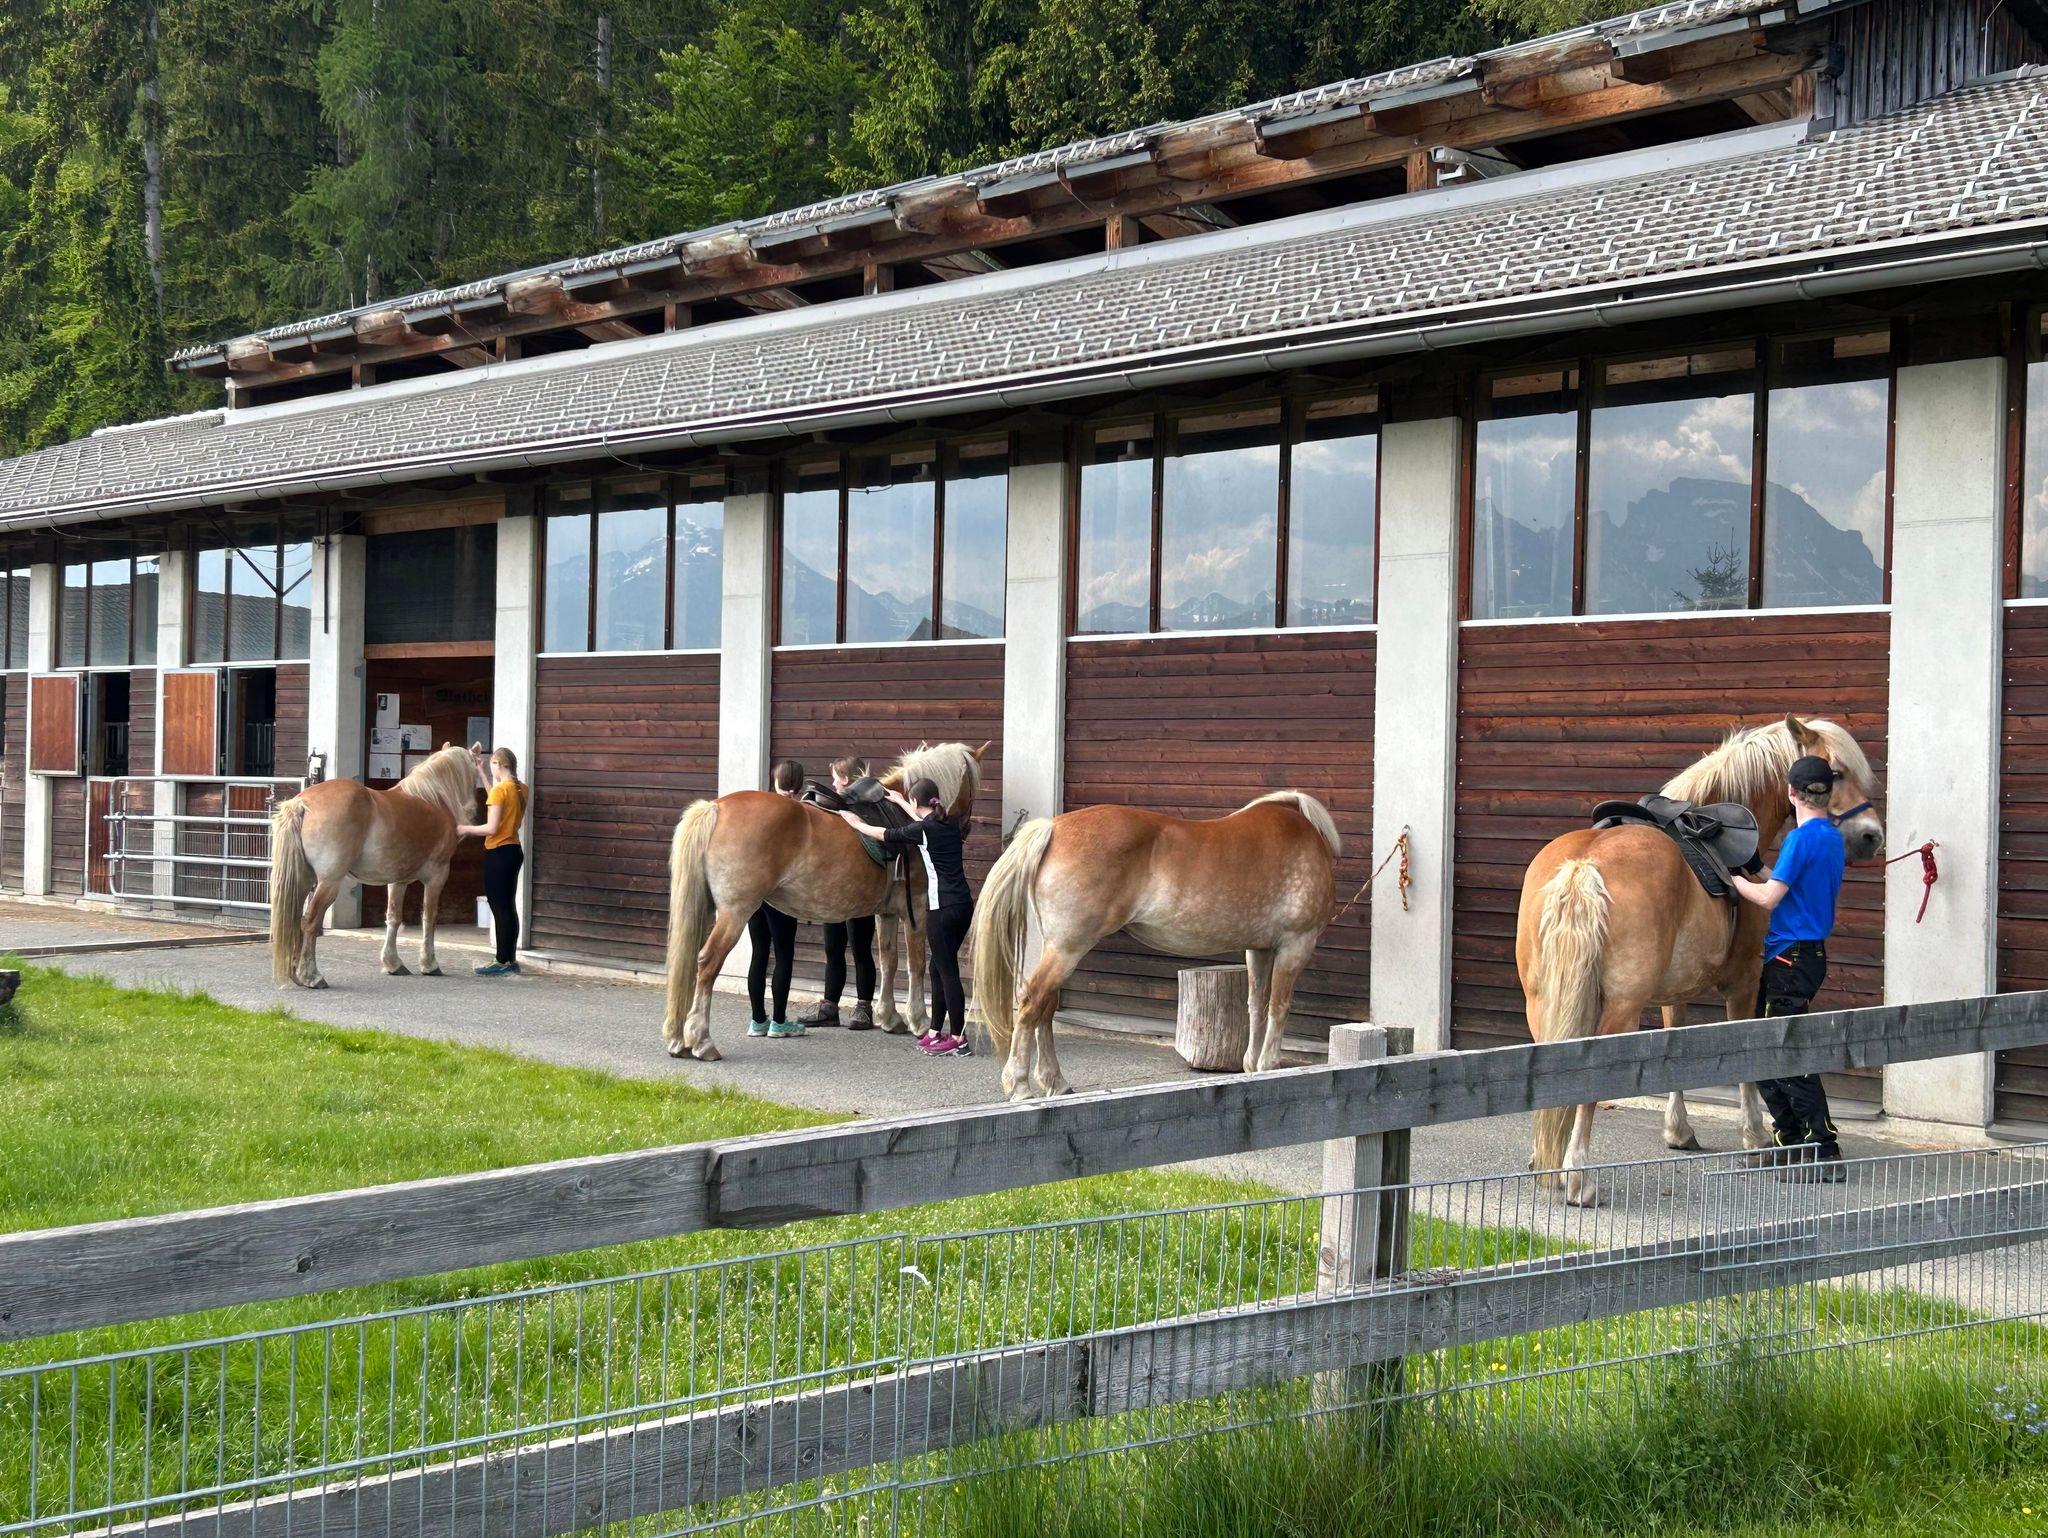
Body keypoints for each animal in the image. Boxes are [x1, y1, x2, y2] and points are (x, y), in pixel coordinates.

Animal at [269, 744, 481, 989]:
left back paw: (296, 974)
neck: (433, 799)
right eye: (475, 772)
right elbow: (429, 917)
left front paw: (393, 964)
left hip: (303, 880)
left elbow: (394, 917)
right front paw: (429, 964)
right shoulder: (437, 875)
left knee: (294, 921)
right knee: (310, 921)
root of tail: (302, 802)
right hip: (328, 883)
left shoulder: (398, 880)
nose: (473, 813)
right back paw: (312, 976)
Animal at [661, 742, 987, 1061]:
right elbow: (916, 965)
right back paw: (702, 1041)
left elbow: (888, 961)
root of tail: (715, 807)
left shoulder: (886, 913)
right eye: (974, 788)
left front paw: (889, 1018)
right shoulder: (916, 908)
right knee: (706, 962)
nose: (966, 827)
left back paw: (679, 1039)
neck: (905, 816)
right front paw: (918, 1020)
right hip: (734, 913)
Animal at [972, 792, 1343, 1101]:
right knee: (1031, 1003)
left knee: (1044, 1008)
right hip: (1067, 949)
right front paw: (1268, 1066)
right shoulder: (1296, 945)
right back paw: (1019, 1086)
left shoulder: (1260, 949)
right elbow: (1279, 1007)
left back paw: (1056, 1082)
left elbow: (1256, 1005)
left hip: (1059, 949)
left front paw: (1252, 1066)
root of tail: (1052, 828)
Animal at [1518, 715, 1884, 1206]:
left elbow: (1676, 1046)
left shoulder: (1675, 990)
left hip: (1541, 1002)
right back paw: (1577, 1176)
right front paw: (1754, 1137)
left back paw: (1548, 1161)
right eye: (1839, 772)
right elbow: (1744, 1057)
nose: (1871, 836)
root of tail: (1583, 867)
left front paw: (1679, 1131)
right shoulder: (1745, 982)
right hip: (1619, 1010)